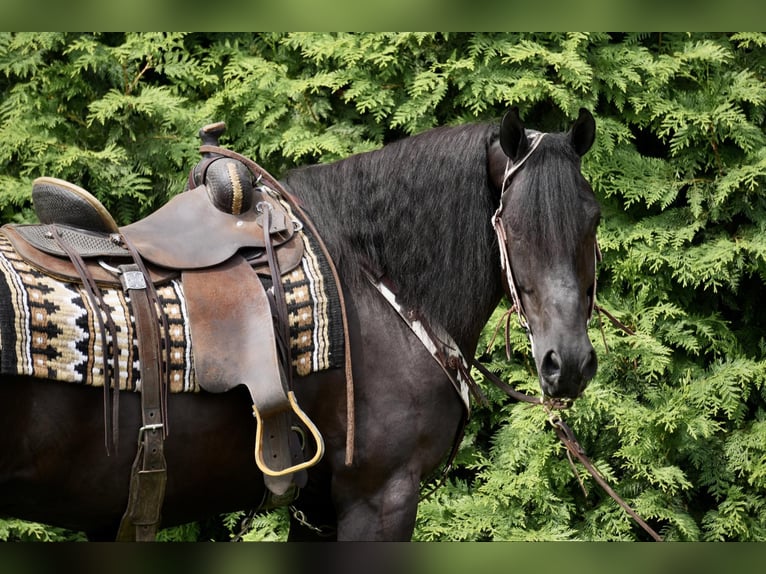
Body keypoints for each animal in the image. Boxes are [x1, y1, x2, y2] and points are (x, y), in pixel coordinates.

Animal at [0, 109, 600, 544]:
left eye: (593, 219)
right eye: (514, 226)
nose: (568, 363)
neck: (371, 282)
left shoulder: (319, 507)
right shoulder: (380, 497)